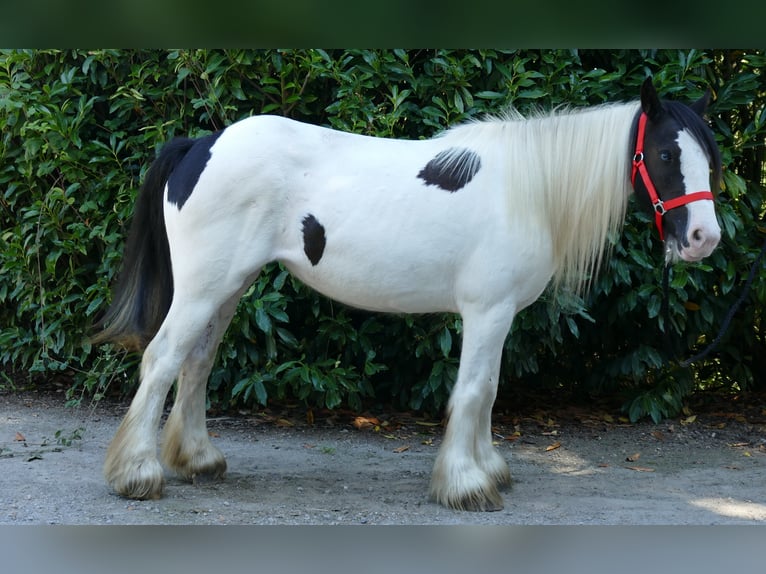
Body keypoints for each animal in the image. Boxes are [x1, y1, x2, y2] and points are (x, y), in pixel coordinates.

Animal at [93, 77, 724, 512]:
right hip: (204, 289)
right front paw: (466, 485)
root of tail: (202, 144)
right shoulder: (487, 312)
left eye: (710, 159)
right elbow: (474, 391)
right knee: (161, 359)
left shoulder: (498, 318)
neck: (529, 190)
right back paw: (137, 475)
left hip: (227, 289)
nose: (704, 238)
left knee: (196, 363)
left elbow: (490, 390)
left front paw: (489, 468)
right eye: (667, 154)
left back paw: (198, 460)